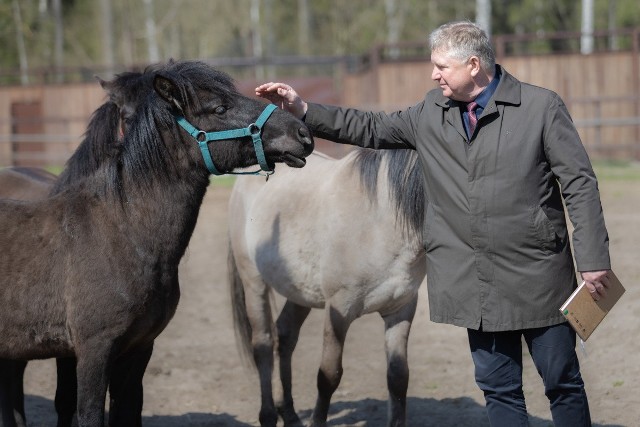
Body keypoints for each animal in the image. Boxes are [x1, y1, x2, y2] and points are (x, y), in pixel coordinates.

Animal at [228, 148, 428, 427]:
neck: (381, 222)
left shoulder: (401, 309)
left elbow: (398, 377)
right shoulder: (339, 310)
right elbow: (329, 375)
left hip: (300, 292)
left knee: (285, 336)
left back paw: (289, 414)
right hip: (253, 282)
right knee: (263, 345)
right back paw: (268, 416)